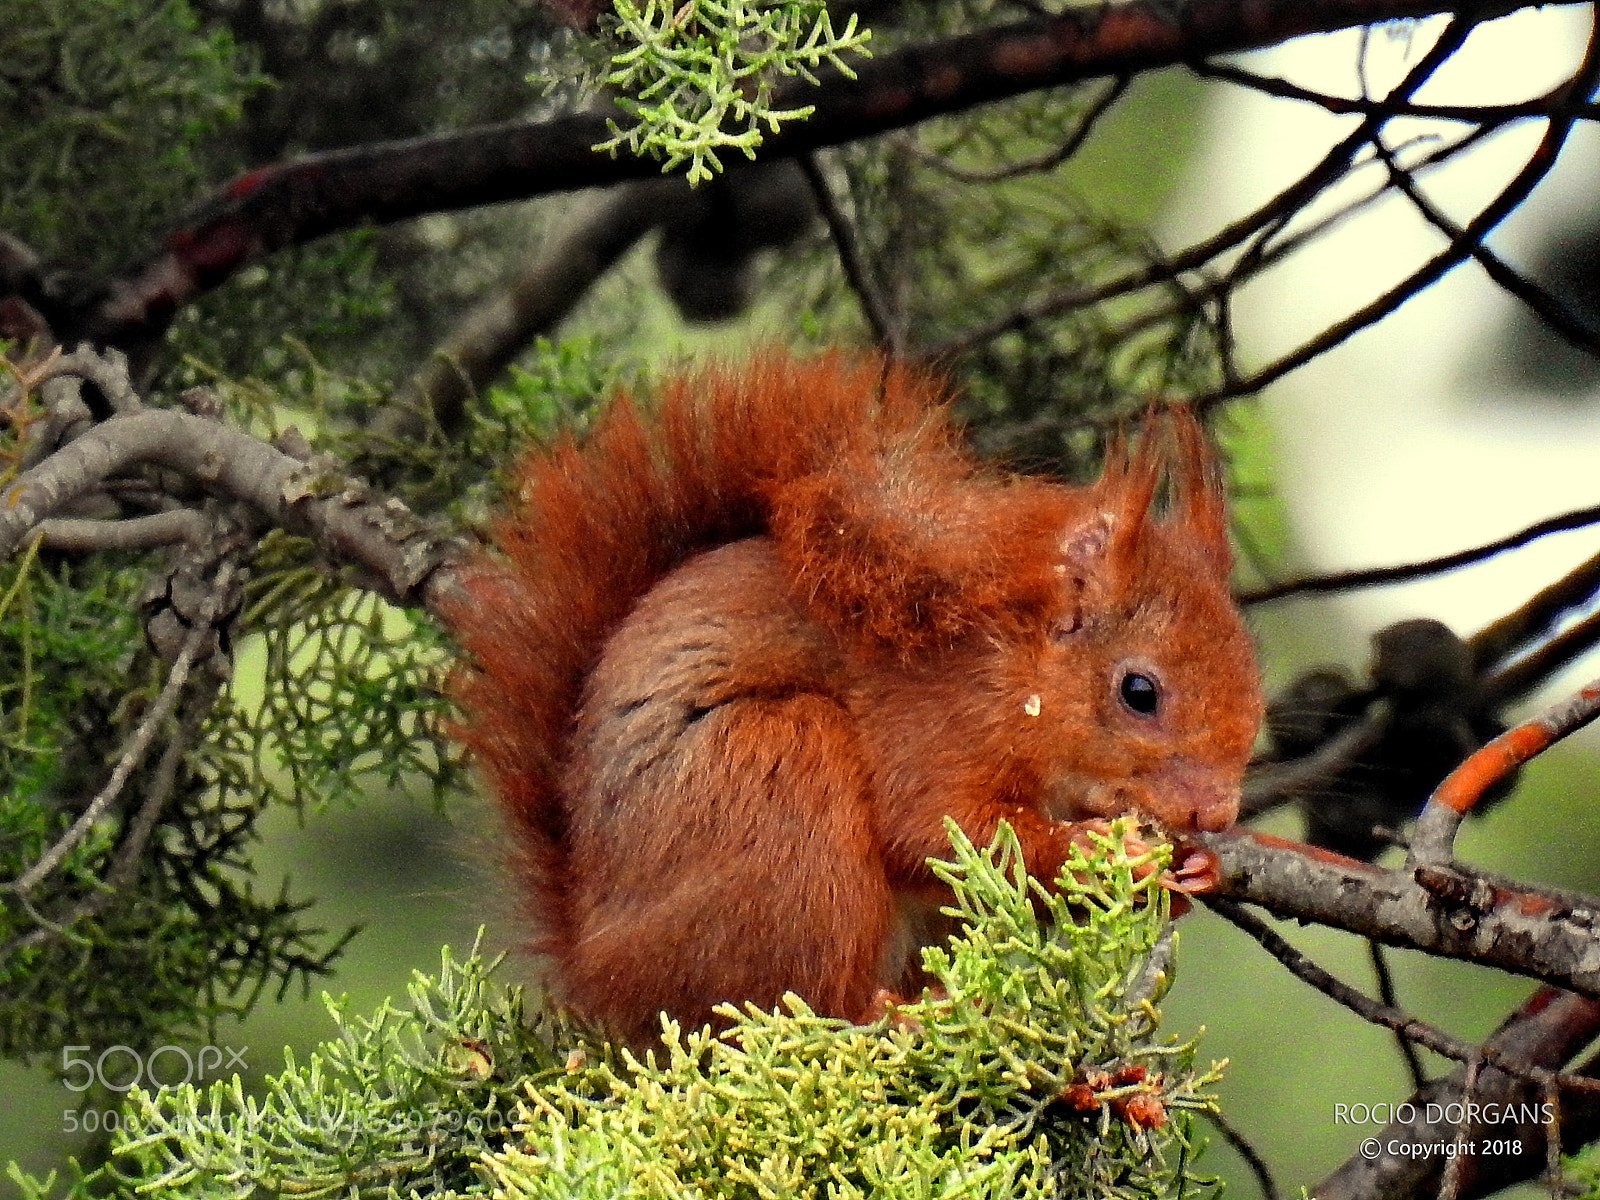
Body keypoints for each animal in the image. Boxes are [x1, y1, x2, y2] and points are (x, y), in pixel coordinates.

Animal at [444, 353, 1263, 1047]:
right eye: (1138, 692)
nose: (1216, 812)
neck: (1019, 672)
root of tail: (599, 968)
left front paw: (1202, 870)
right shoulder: (931, 721)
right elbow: (934, 828)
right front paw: (1100, 851)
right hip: (776, 787)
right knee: (792, 1003)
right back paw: (878, 1017)